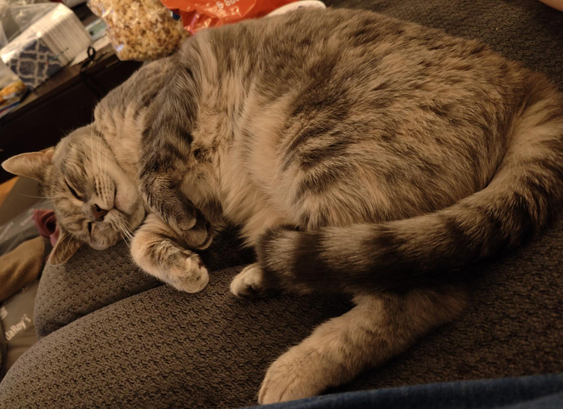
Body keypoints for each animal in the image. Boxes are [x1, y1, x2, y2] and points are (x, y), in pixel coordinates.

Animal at [3, 7, 563, 404]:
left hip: (318, 151)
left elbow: (152, 173)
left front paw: (179, 233)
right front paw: (187, 264)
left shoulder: (170, 96)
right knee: (345, 262)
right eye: (87, 229)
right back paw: (257, 280)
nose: (98, 215)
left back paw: (294, 370)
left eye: (75, 190)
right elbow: (145, 242)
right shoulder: (193, 209)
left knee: (423, 297)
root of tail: (523, 80)